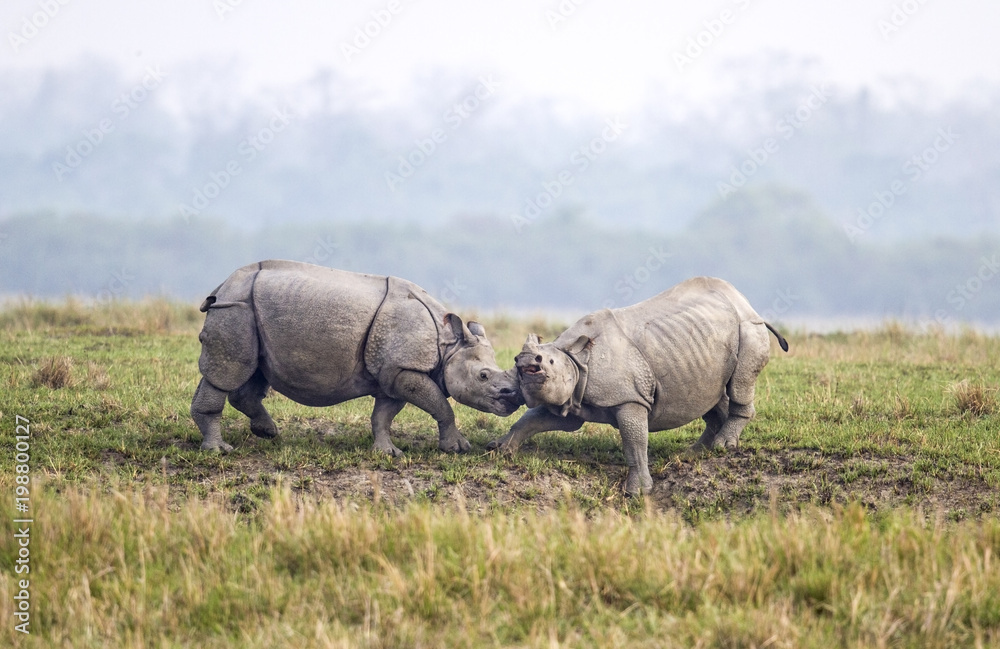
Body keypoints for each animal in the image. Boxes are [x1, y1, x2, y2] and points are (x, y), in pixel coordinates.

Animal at [191, 260, 522, 455]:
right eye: (483, 376)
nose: (513, 397)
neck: (448, 345)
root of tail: (224, 285)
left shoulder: (392, 374)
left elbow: (383, 415)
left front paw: (387, 453)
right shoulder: (404, 369)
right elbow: (442, 406)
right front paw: (457, 448)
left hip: (247, 311)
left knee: (254, 373)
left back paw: (268, 432)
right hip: (237, 308)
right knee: (229, 372)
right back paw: (219, 450)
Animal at [487, 277, 788, 495]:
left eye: (546, 361)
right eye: (518, 360)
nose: (525, 360)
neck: (576, 358)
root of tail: (747, 304)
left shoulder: (629, 398)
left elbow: (635, 443)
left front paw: (637, 492)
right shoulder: (571, 399)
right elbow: (532, 420)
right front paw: (500, 448)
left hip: (748, 329)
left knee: (738, 384)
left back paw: (723, 446)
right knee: (708, 394)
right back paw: (696, 452)